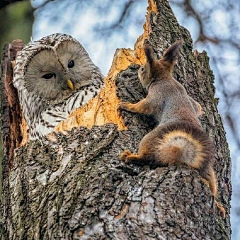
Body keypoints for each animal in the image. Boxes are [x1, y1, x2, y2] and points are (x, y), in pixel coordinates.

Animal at [119, 39, 226, 218]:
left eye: (143, 69)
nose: (138, 69)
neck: (165, 78)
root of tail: (181, 155)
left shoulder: (156, 96)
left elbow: (143, 107)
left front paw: (126, 105)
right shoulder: (190, 99)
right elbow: (198, 107)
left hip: (151, 138)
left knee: (147, 157)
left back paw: (131, 156)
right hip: (207, 170)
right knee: (211, 186)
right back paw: (219, 205)